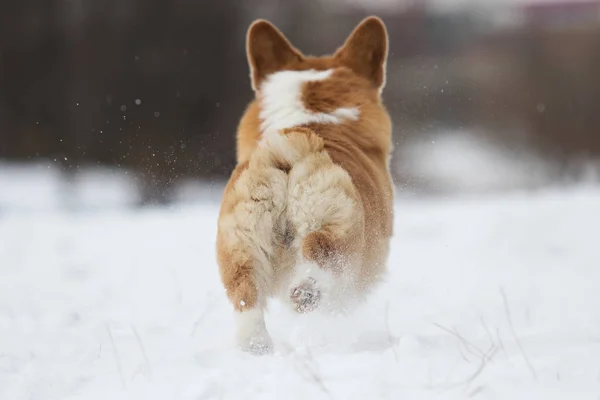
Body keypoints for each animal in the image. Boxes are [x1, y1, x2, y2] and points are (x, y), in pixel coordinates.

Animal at [216, 16, 394, 354]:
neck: (314, 115)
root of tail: (288, 149)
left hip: (239, 242)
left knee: (246, 293)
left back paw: (257, 347)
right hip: (336, 220)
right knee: (318, 251)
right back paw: (306, 293)